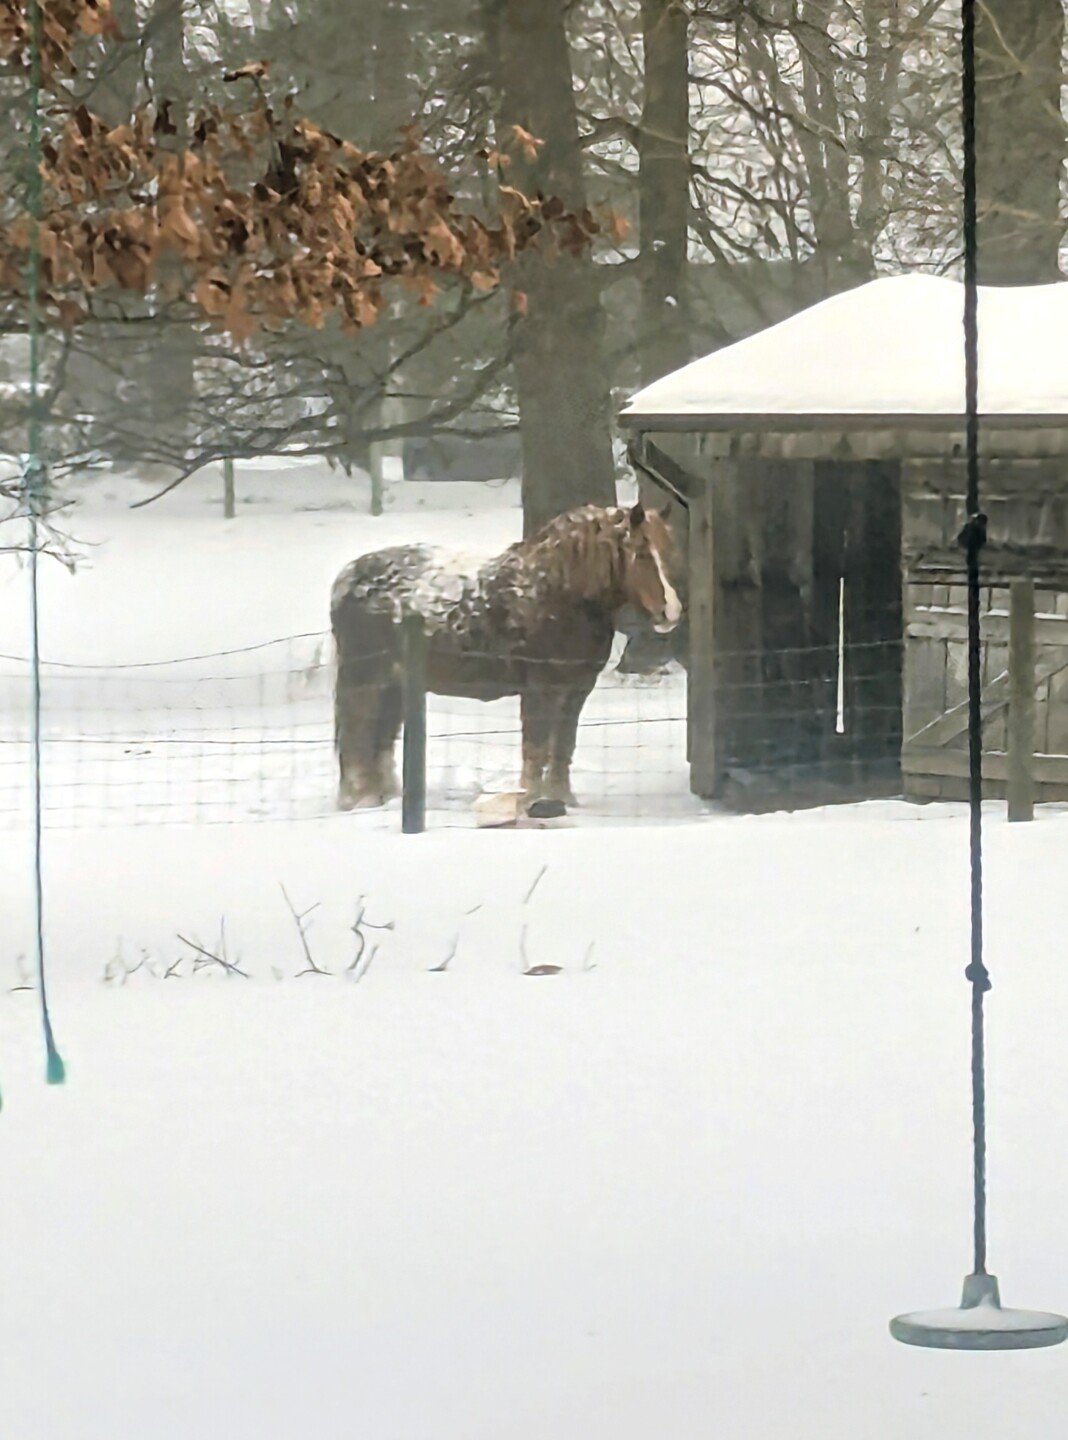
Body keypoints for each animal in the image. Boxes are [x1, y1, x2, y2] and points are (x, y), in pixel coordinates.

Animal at [329, 502, 682, 810]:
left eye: (667, 552)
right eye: (640, 553)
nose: (671, 611)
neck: (557, 593)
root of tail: (347, 579)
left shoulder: (576, 690)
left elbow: (562, 746)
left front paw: (562, 798)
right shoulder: (540, 690)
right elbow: (536, 747)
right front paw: (532, 800)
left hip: (393, 686)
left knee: (379, 740)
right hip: (366, 681)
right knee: (356, 735)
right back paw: (359, 800)